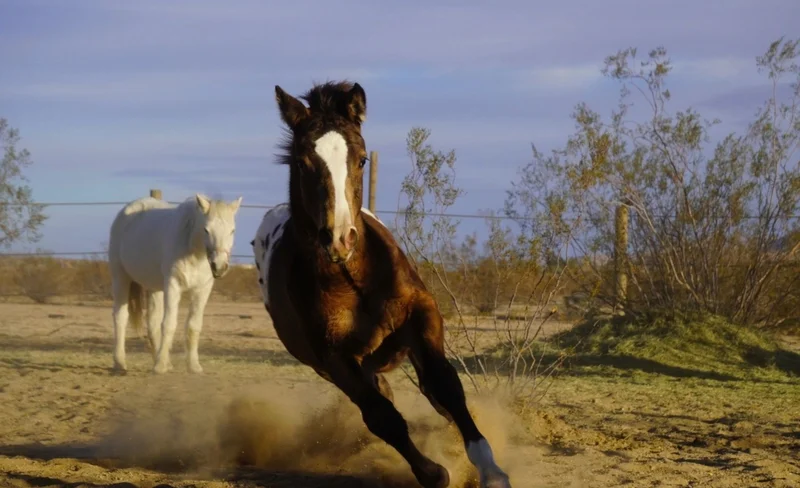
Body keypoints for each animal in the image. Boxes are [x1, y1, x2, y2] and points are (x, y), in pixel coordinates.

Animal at [108, 193, 242, 374]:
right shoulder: (173, 285)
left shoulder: (202, 290)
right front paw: (160, 366)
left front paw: (193, 366)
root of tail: (127, 211)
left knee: (153, 322)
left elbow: (193, 326)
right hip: (120, 277)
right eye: (206, 230)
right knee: (120, 317)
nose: (219, 266)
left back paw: (162, 360)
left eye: (232, 230)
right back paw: (120, 363)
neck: (193, 250)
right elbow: (169, 324)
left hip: (154, 287)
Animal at [253, 81, 510, 488]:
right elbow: (382, 417)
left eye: (361, 160)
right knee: (381, 399)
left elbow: (446, 387)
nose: (340, 239)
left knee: (430, 393)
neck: (355, 280)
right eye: (302, 162)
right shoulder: (334, 358)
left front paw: (491, 470)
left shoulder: (422, 317)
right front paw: (434, 472)